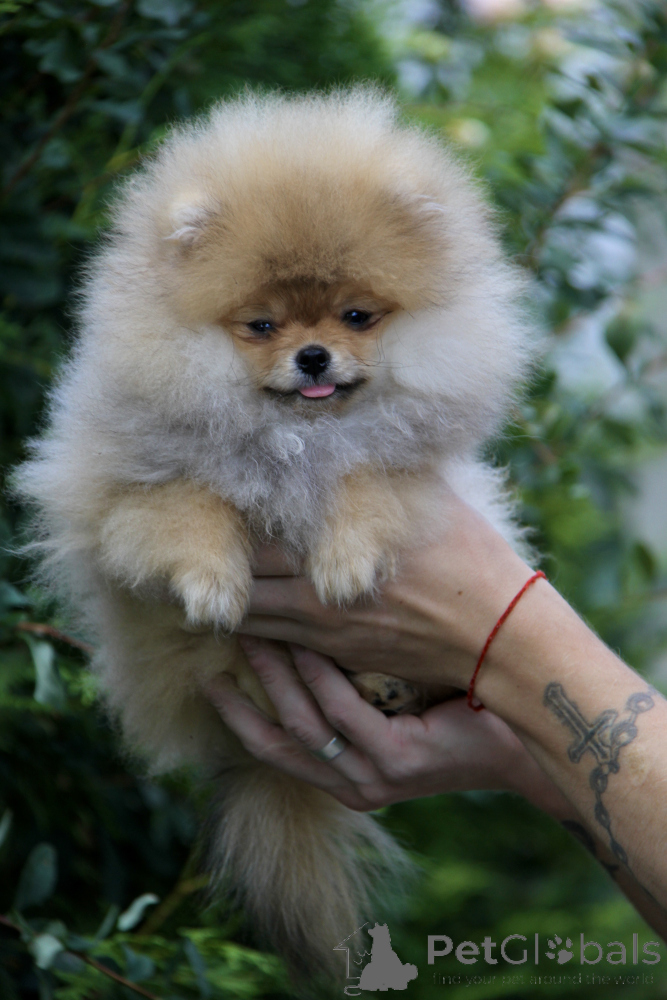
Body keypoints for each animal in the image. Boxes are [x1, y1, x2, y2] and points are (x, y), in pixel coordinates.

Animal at [15, 88, 533, 979]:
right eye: (260, 326)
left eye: (357, 316)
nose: (315, 355)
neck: (295, 439)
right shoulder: (118, 495)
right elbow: (190, 505)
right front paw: (214, 583)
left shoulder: (412, 471)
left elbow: (366, 482)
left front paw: (346, 563)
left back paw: (386, 686)